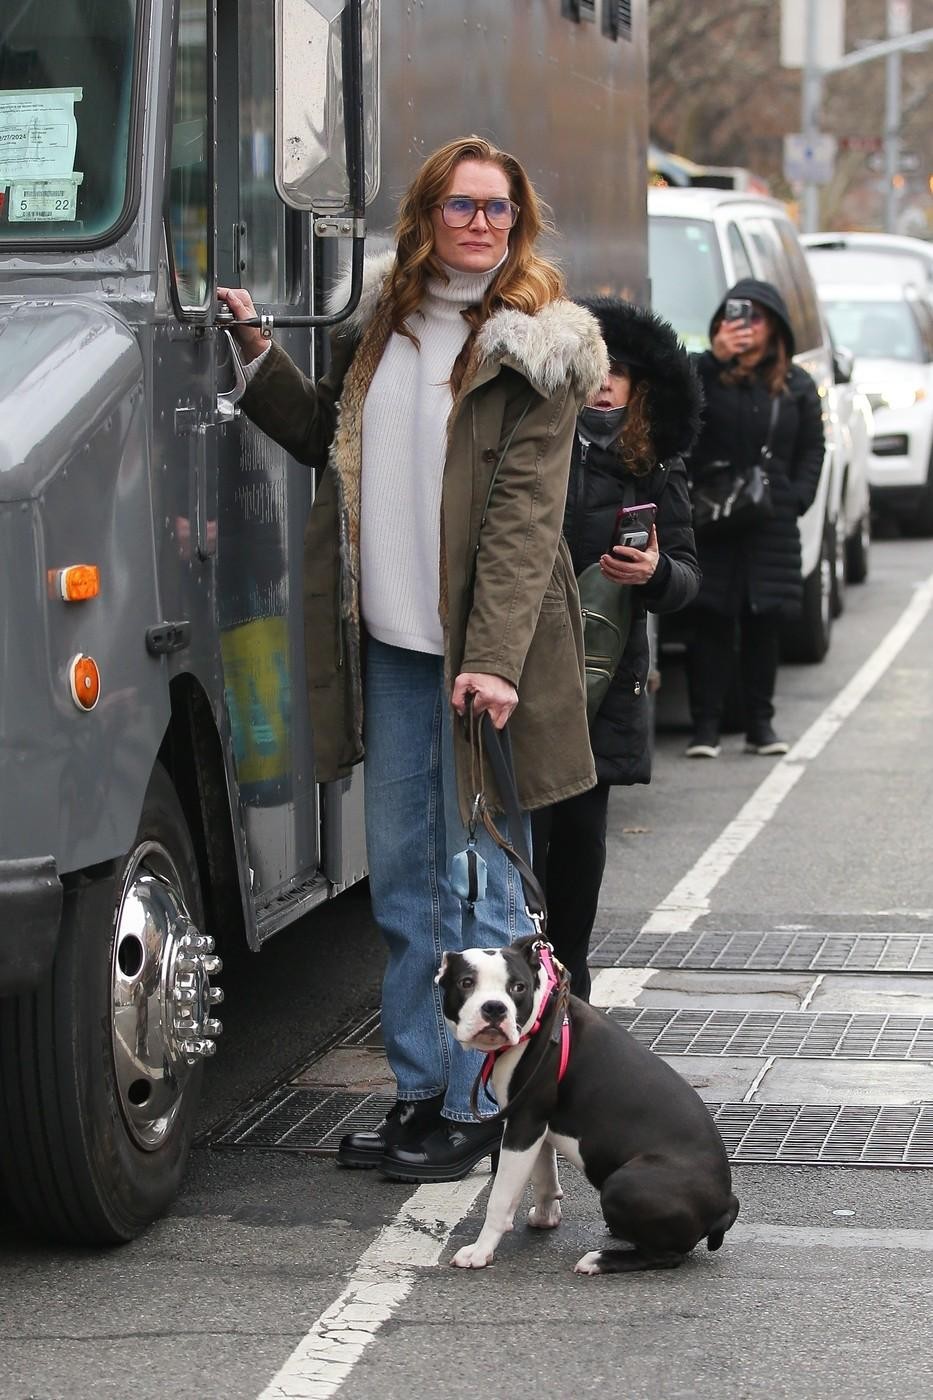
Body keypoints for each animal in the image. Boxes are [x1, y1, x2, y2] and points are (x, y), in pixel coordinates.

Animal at [437, 935, 734, 1276]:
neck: (541, 1017)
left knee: (667, 1256)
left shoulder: (523, 1123)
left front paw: (481, 1251)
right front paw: (546, 1216)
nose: (495, 1007)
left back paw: (599, 1259)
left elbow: (500, 1197)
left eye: (518, 988)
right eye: (466, 982)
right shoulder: (536, 1126)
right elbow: (544, 1173)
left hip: (622, 1184)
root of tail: (725, 1204)